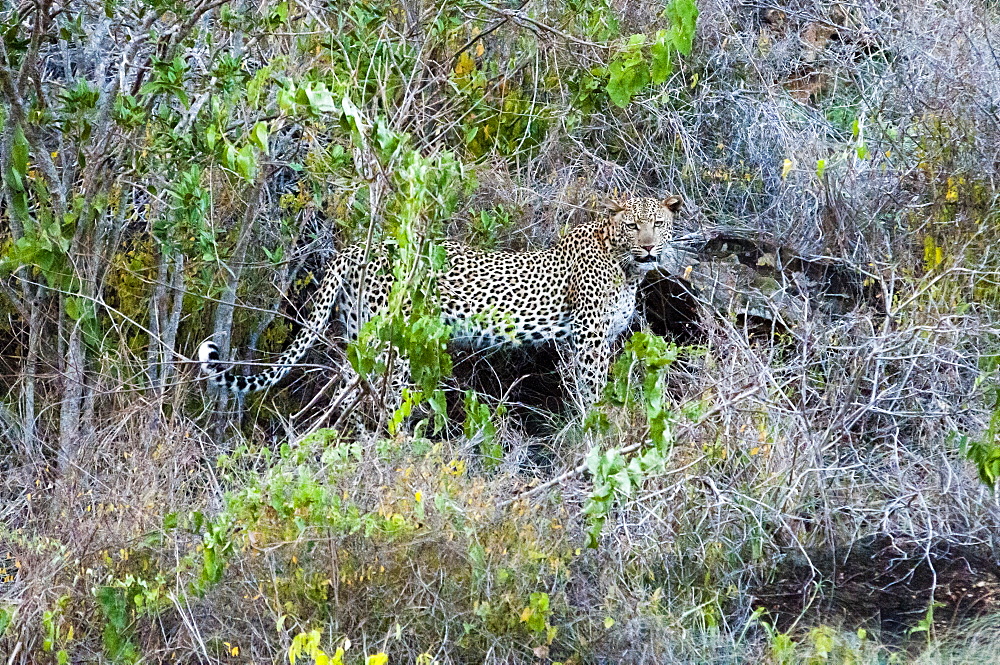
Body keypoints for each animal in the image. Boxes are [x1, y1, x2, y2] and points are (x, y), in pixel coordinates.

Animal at [203, 195, 688, 408]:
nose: (649, 248)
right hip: (393, 345)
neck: (626, 265)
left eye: (658, 224)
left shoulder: (576, 343)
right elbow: (593, 393)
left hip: (362, 336)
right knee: (377, 399)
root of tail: (356, 247)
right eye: (633, 226)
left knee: (345, 391)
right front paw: (599, 434)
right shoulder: (588, 341)